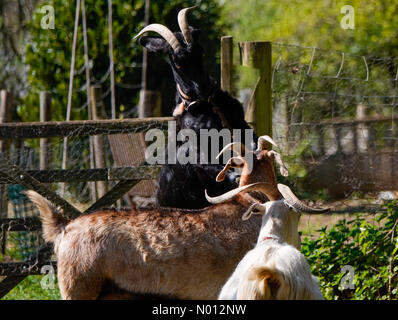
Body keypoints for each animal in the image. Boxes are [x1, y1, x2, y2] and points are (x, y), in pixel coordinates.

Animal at [135, 6, 256, 210]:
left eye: (201, 52)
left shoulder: (240, 122)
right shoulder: (198, 146)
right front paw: (234, 176)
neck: (206, 104)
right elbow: (210, 162)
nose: (204, 87)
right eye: (178, 62)